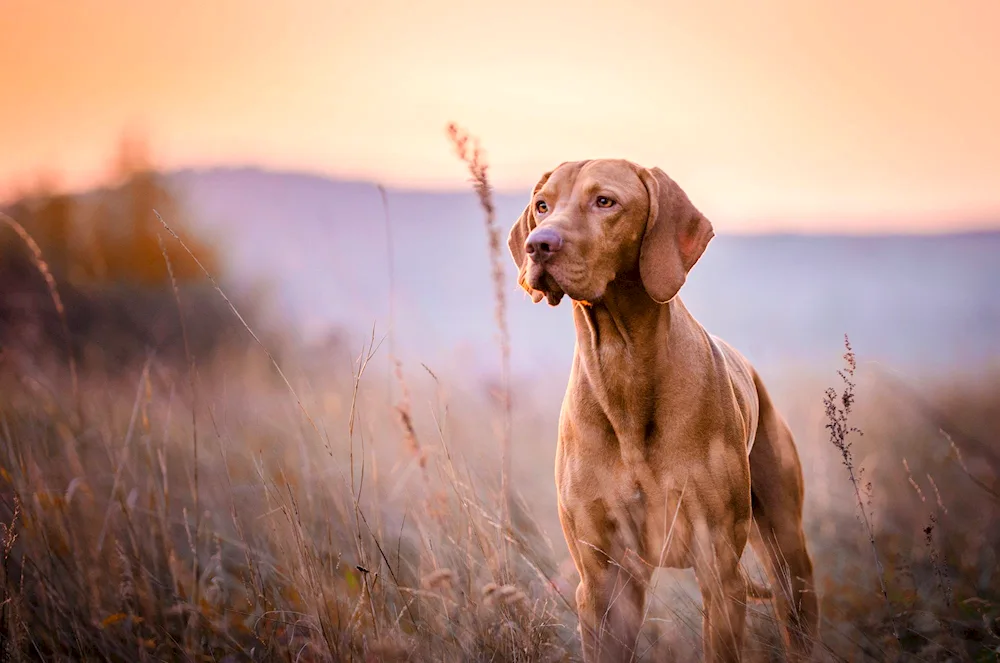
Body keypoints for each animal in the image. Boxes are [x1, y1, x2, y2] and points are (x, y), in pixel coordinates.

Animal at [508, 162, 820, 663]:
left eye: (605, 201)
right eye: (542, 205)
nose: (539, 244)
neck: (623, 367)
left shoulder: (719, 569)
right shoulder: (602, 580)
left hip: (788, 553)